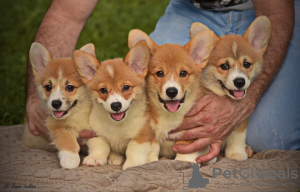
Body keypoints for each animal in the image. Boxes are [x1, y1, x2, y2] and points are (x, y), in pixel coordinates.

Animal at [127, 29, 217, 163]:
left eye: (183, 73)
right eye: (159, 73)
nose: (171, 92)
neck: (170, 115)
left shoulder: (190, 131)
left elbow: (184, 149)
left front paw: (184, 162)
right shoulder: (152, 131)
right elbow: (153, 148)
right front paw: (152, 161)